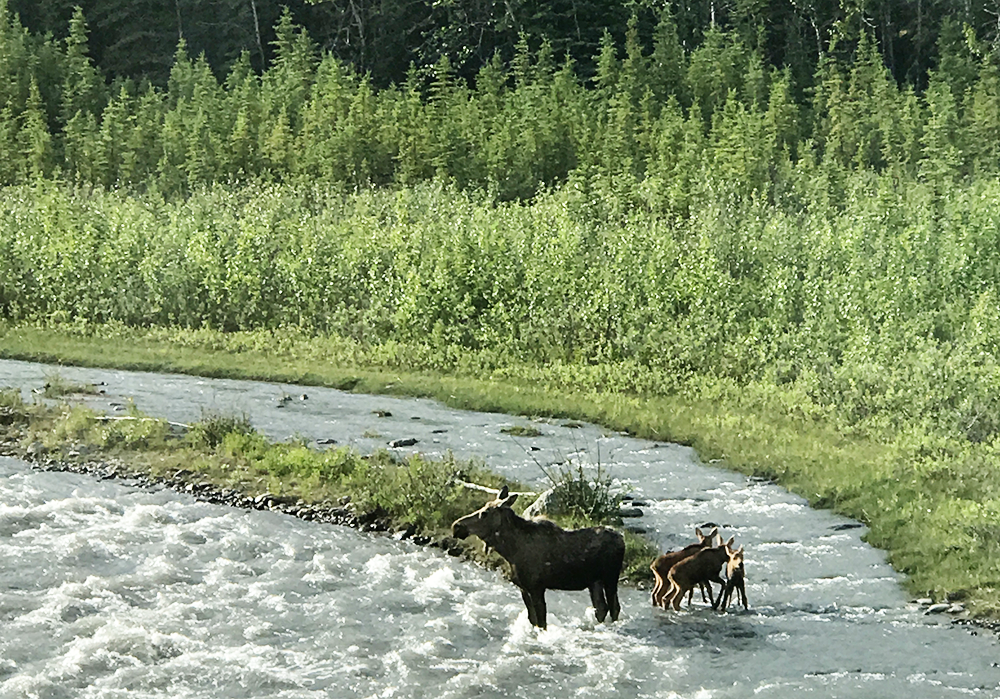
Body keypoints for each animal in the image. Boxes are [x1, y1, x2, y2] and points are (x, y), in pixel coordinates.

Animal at [452, 486, 620, 628]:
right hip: (595, 582)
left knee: (614, 607)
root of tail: (621, 538)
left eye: (485, 513)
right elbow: (532, 620)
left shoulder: (536, 588)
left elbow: (541, 622)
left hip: (610, 579)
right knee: (601, 608)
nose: (456, 526)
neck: (510, 551)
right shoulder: (523, 588)